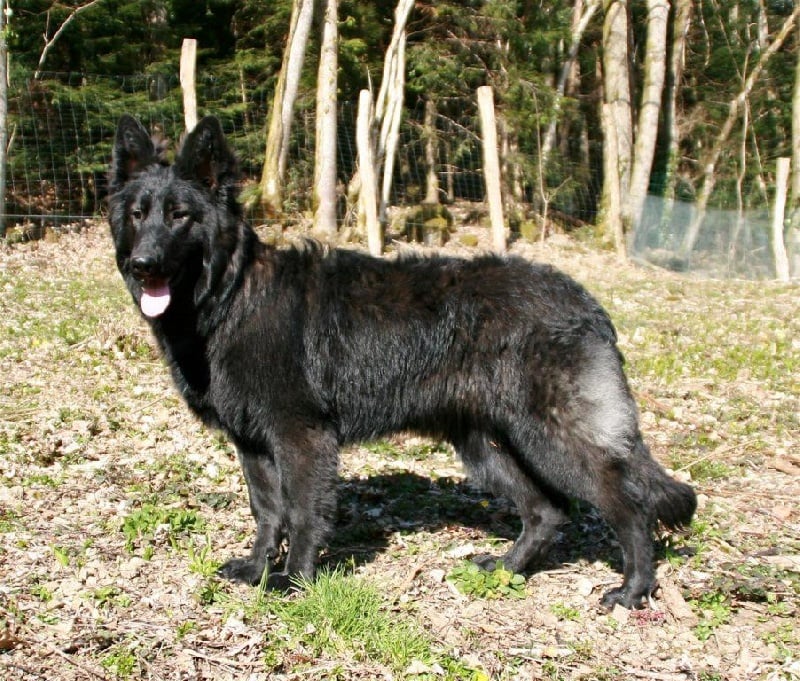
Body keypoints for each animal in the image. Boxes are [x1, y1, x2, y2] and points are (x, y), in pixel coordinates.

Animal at [108, 114, 696, 609]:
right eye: (138, 215)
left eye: (180, 217)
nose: (142, 265)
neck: (230, 297)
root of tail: (585, 301)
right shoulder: (253, 444)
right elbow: (267, 511)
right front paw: (257, 571)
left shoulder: (302, 437)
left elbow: (302, 512)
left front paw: (294, 581)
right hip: (486, 448)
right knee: (547, 512)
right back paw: (508, 568)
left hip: (553, 441)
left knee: (629, 506)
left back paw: (634, 590)